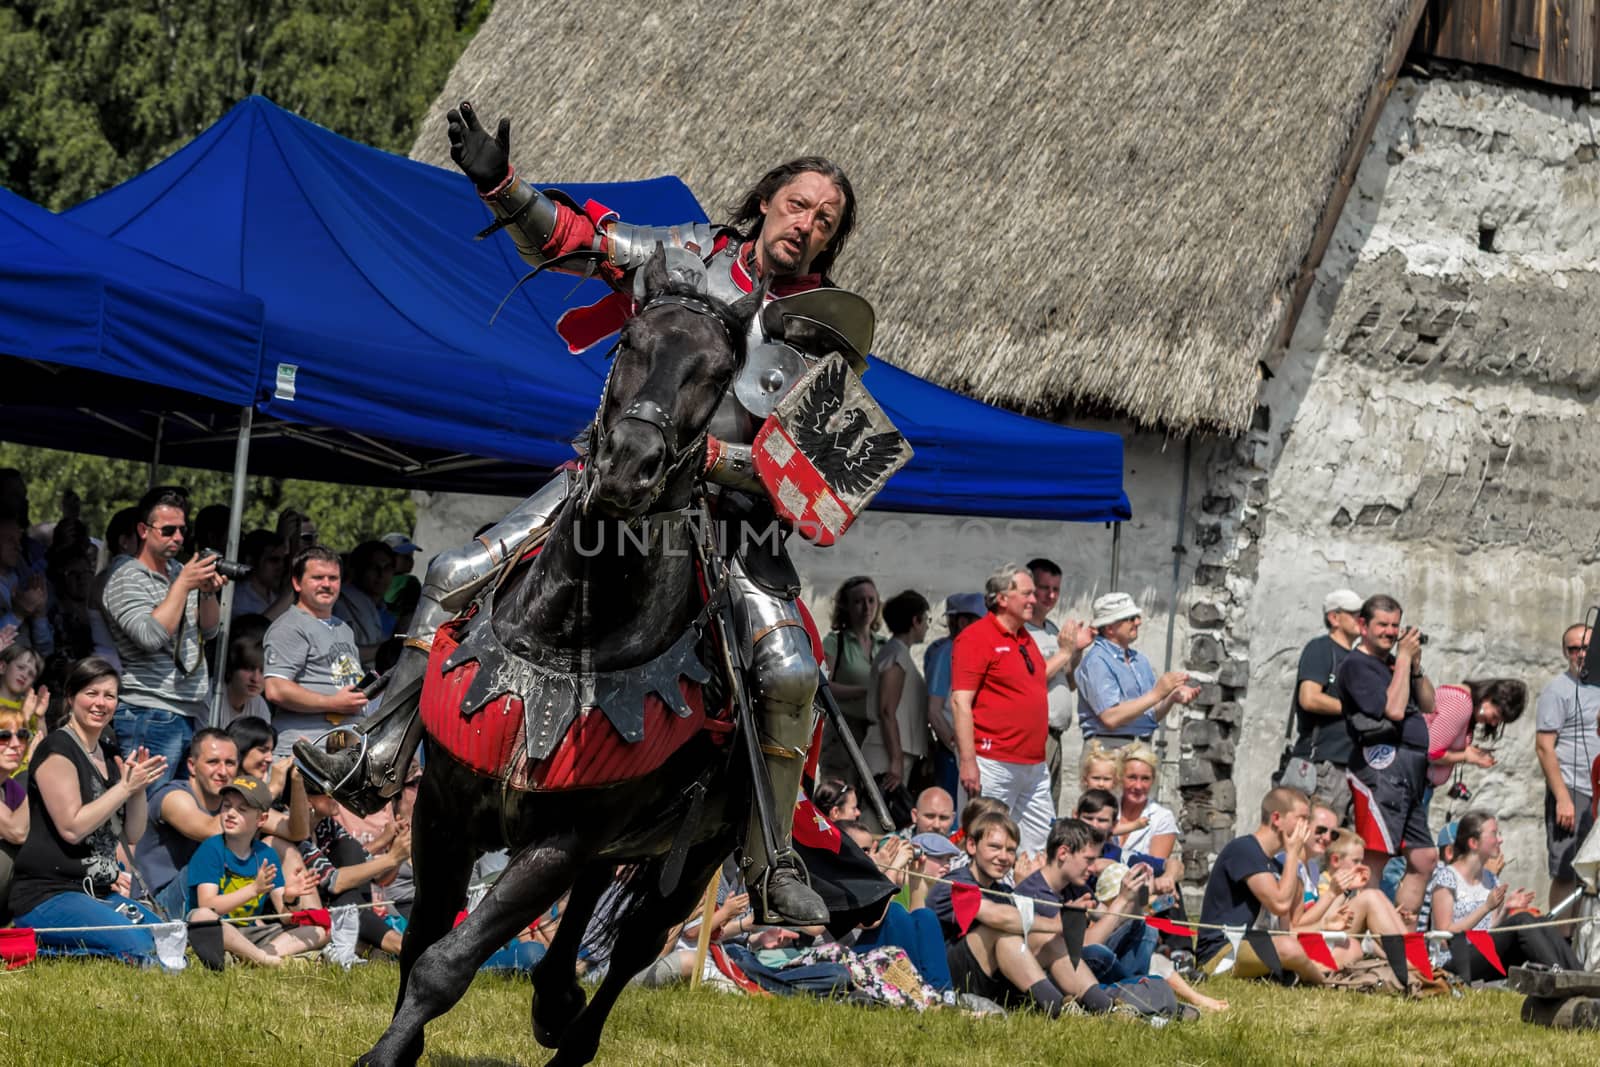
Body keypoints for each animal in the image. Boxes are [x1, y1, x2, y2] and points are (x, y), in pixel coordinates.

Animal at [358, 252, 768, 1067]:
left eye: (716, 374)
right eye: (630, 342)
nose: (628, 465)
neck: (569, 635)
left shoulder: (559, 842)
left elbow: (446, 964)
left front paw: (386, 1054)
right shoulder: (443, 811)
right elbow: (421, 939)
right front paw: (398, 1048)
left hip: (693, 859)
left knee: (634, 944)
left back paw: (571, 1034)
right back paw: (552, 999)